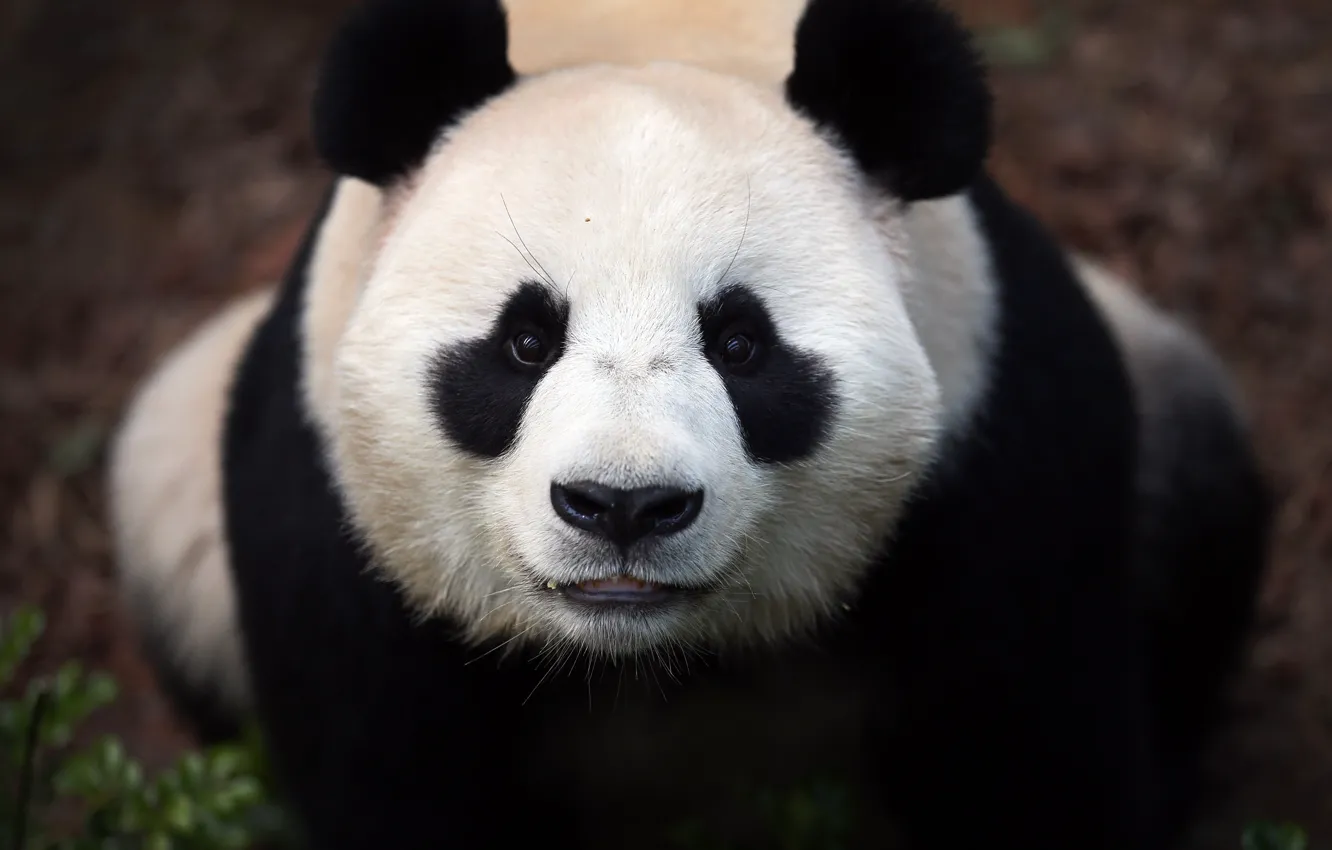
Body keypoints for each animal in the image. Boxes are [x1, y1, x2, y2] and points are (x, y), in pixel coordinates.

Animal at [106, 0, 1273, 848]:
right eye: (525, 341)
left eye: (742, 343)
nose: (623, 505)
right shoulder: (328, 517)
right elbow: (392, 775)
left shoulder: (999, 444)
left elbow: (1035, 754)